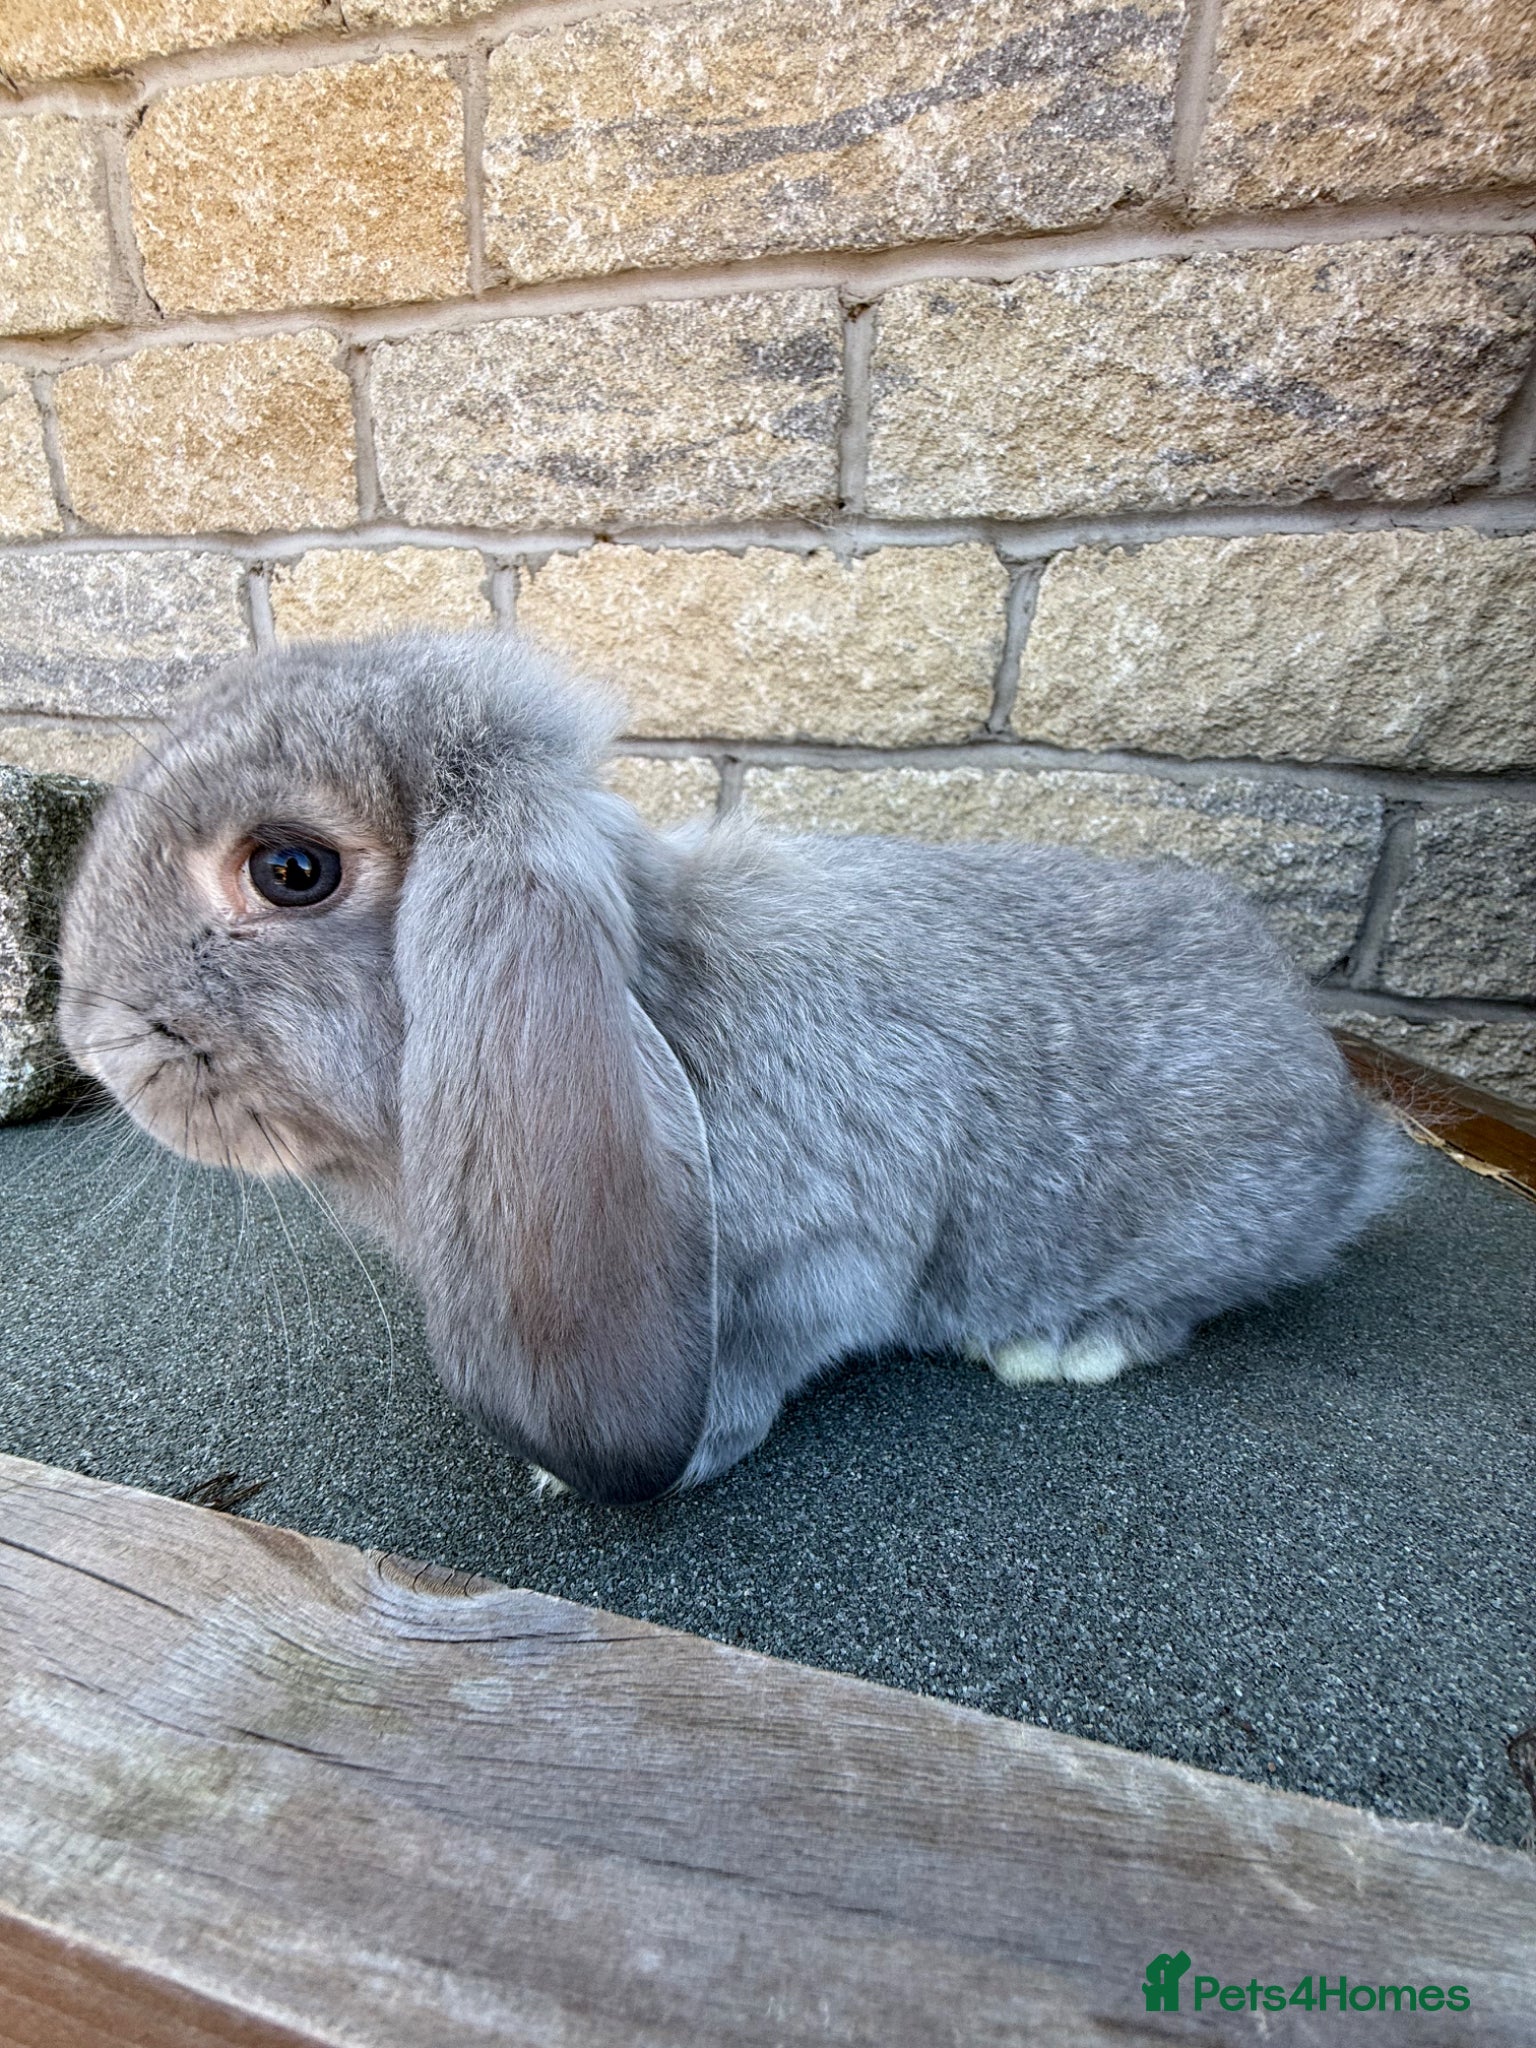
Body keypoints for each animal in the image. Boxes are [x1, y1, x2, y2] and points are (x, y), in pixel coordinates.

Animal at [57, 630, 1405, 1505]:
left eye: (292, 870)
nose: (90, 1039)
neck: (654, 997)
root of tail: (1354, 1138)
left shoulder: (828, 1257)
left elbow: (763, 1363)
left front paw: (612, 1464)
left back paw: (1064, 1345)